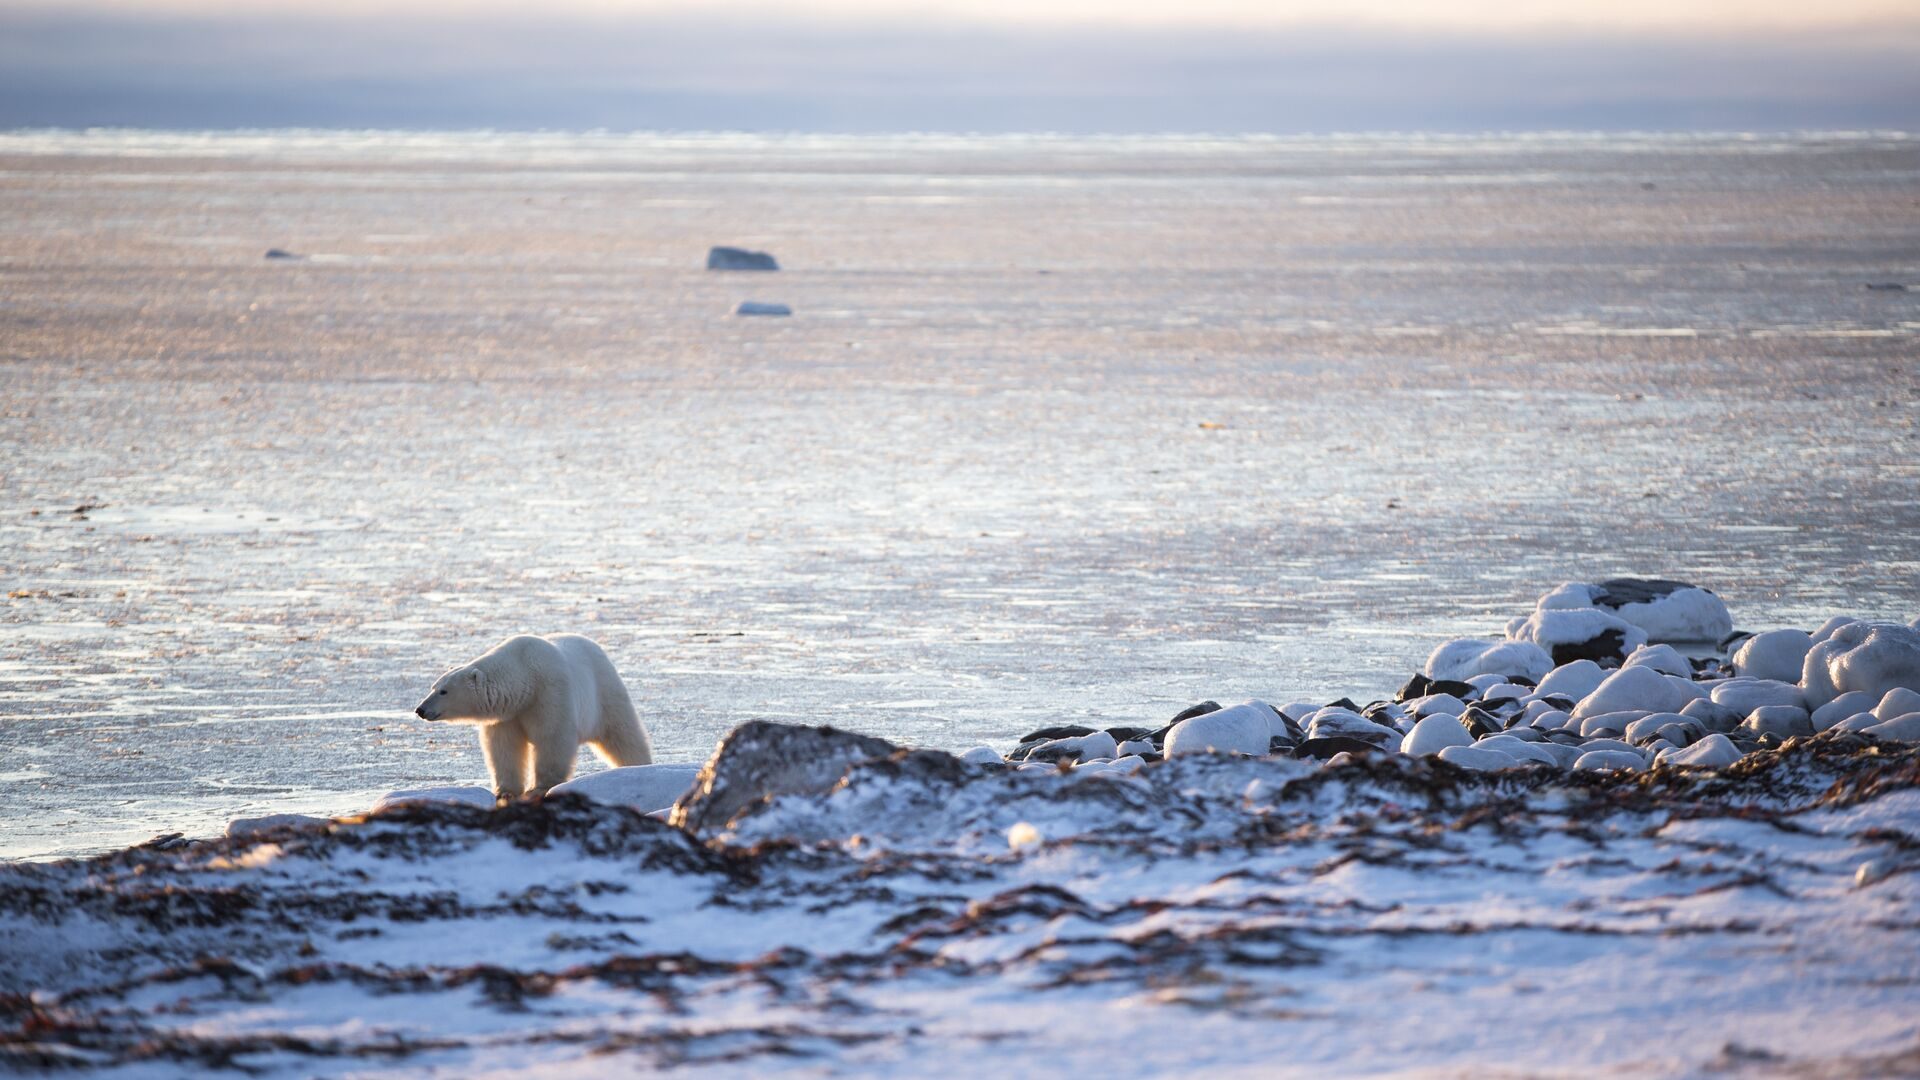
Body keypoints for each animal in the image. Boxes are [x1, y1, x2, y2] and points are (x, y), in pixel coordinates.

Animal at [413, 634, 653, 797]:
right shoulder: (507, 714)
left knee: (623, 734)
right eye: (433, 686)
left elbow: (553, 738)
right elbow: (504, 747)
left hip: (604, 692)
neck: (525, 676)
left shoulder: (550, 693)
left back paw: (640, 766)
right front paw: (506, 790)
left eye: (444, 691)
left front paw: (539, 787)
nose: (420, 709)